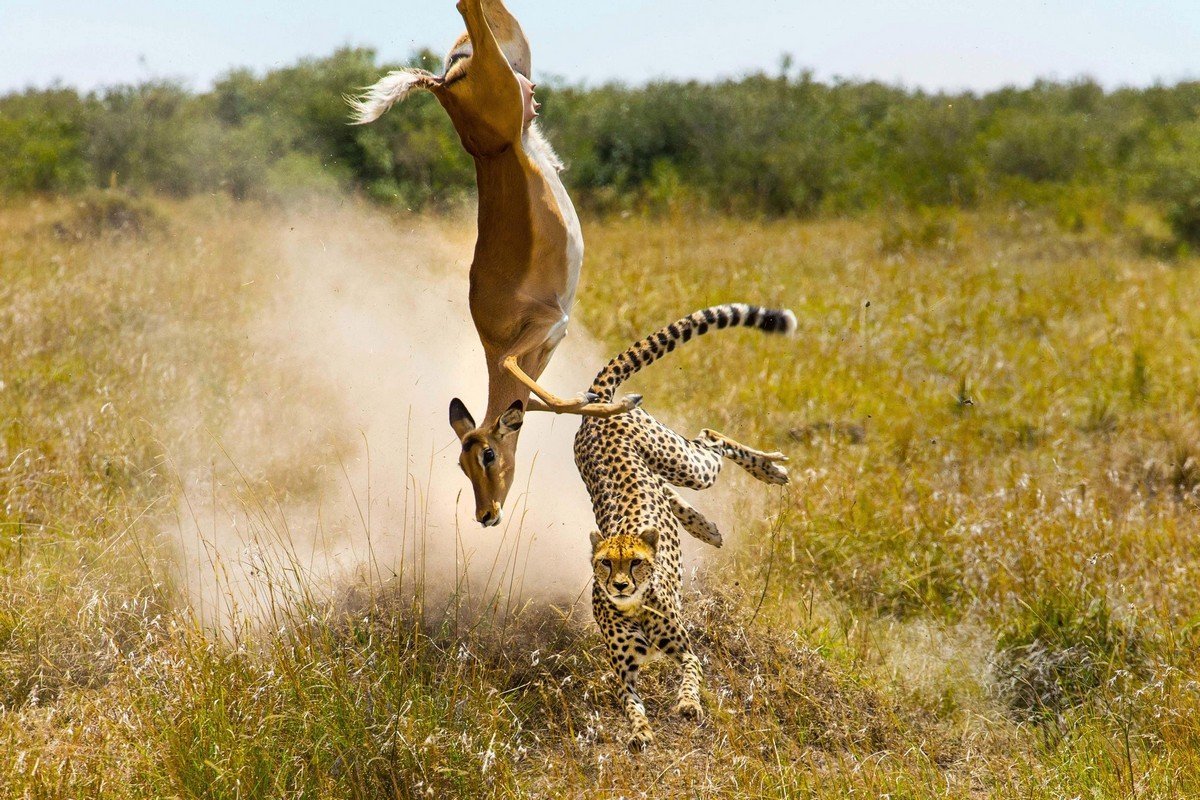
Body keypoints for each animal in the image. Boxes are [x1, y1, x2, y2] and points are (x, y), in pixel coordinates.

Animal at [573, 302, 792, 753]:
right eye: (605, 564)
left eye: (636, 563)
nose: (620, 585)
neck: (634, 606)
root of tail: (597, 403)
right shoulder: (623, 673)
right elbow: (632, 706)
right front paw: (640, 732)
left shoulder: (685, 650)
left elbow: (691, 675)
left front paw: (689, 705)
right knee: (668, 487)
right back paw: (706, 526)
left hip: (686, 463)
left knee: (709, 437)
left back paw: (768, 468)